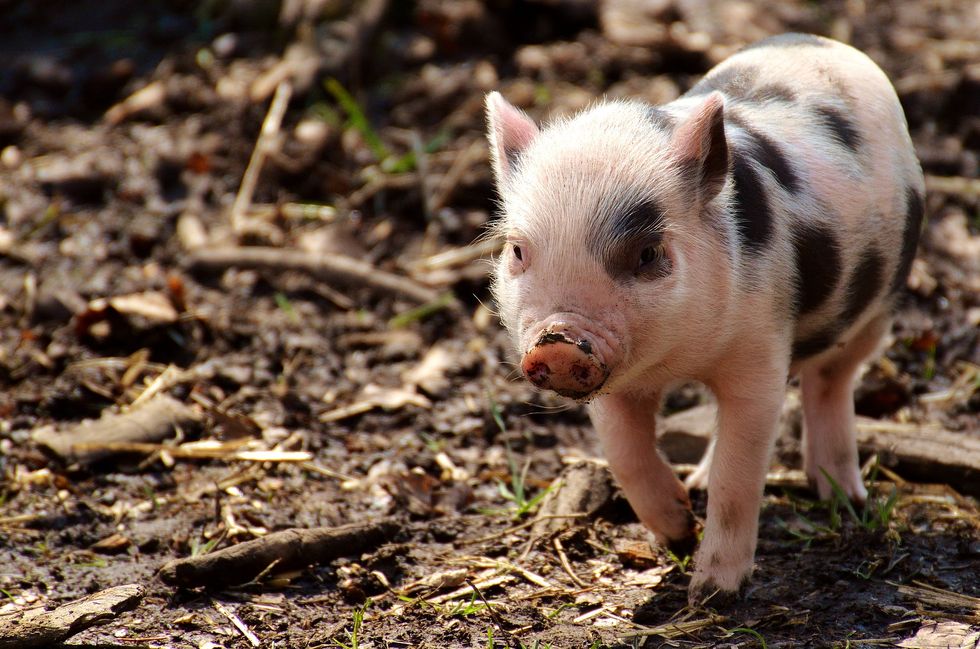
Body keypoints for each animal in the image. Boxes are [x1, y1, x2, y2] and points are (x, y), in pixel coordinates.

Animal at [486, 33, 924, 602]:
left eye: (648, 253)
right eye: (517, 250)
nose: (558, 341)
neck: (679, 360)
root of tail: (826, 44)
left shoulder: (761, 351)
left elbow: (739, 475)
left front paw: (713, 593)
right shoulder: (616, 385)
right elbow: (625, 454)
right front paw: (676, 530)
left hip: (880, 302)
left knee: (831, 380)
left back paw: (841, 499)